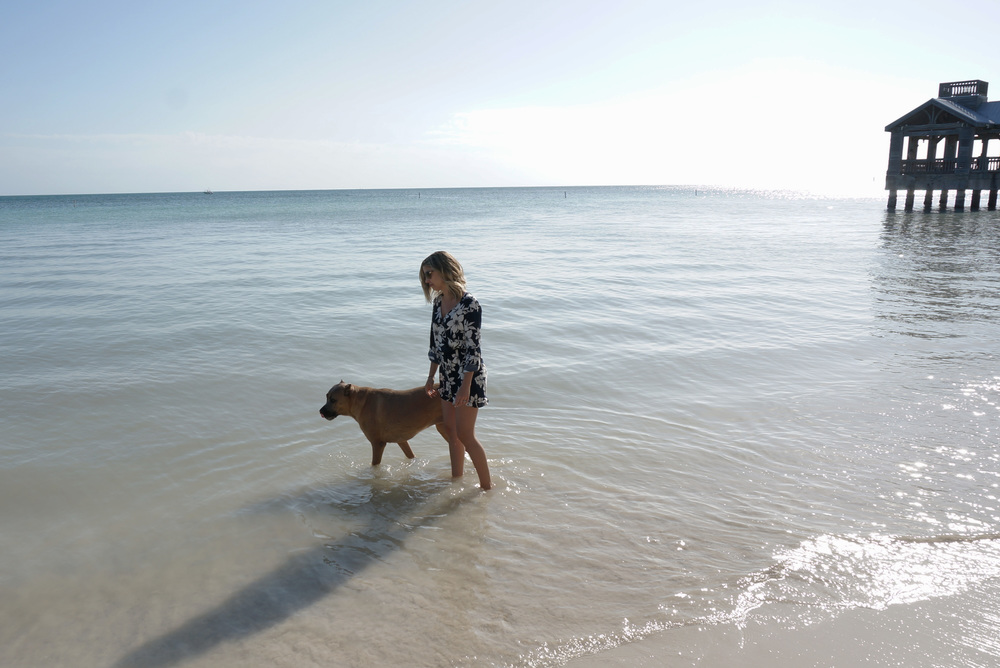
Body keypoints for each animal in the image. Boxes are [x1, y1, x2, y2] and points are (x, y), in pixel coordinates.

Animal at [320, 380, 450, 464]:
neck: (360, 401)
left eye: (333, 400)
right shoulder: (401, 440)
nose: (320, 411)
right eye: (326, 397)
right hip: (443, 428)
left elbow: (375, 465)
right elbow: (411, 455)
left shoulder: (377, 444)